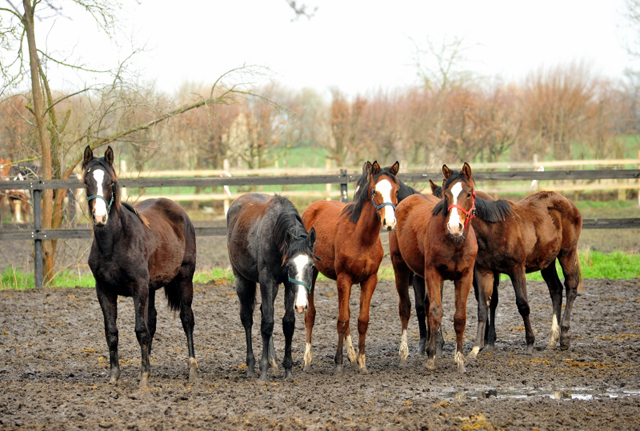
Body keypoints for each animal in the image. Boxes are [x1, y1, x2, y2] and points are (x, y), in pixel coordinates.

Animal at [82, 147, 198, 390]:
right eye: (87, 181)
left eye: (111, 182)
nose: (100, 217)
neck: (114, 242)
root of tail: (179, 210)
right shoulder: (104, 290)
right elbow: (112, 332)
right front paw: (116, 375)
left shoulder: (139, 288)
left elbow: (140, 330)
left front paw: (144, 378)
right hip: (152, 287)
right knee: (152, 321)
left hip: (184, 277)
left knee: (186, 318)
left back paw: (192, 369)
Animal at [228, 194, 318, 380]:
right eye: (290, 265)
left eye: (311, 266)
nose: (301, 305)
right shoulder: (267, 280)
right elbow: (267, 324)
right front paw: (263, 370)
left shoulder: (288, 284)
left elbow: (288, 324)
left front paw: (287, 368)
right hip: (241, 279)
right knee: (247, 318)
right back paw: (251, 365)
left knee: (263, 311)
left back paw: (273, 362)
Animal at [302, 160, 400, 372]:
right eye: (374, 191)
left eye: (396, 190)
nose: (389, 223)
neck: (361, 237)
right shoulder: (344, 279)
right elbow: (342, 320)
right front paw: (338, 362)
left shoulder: (369, 280)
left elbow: (361, 320)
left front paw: (362, 362)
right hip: (312, 272)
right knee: (310, 314)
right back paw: (307, 359)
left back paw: (352, 356)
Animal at [388, 164, 478, 372]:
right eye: (446, 194)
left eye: (468, 194)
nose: (454, 226)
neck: (454, 242)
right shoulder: (433, 273)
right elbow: (435, 311)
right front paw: (430, 358)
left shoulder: (465, 276)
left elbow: (459, 317)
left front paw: (460, 360)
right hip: (400, 267)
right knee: (405, 307)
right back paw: (403, 354)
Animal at [430, 181, 584, 356]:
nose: (451, 228)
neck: (493, 229)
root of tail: (568, 202)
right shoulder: (483, 271)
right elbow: (483, 305)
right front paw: (478, 346)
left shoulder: (517, 269)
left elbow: (522, 304)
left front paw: (529, 343)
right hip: (547, 261)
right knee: (555, 290)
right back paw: (552, 340)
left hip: (567, 253)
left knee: (571, 287)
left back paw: (564, 337)